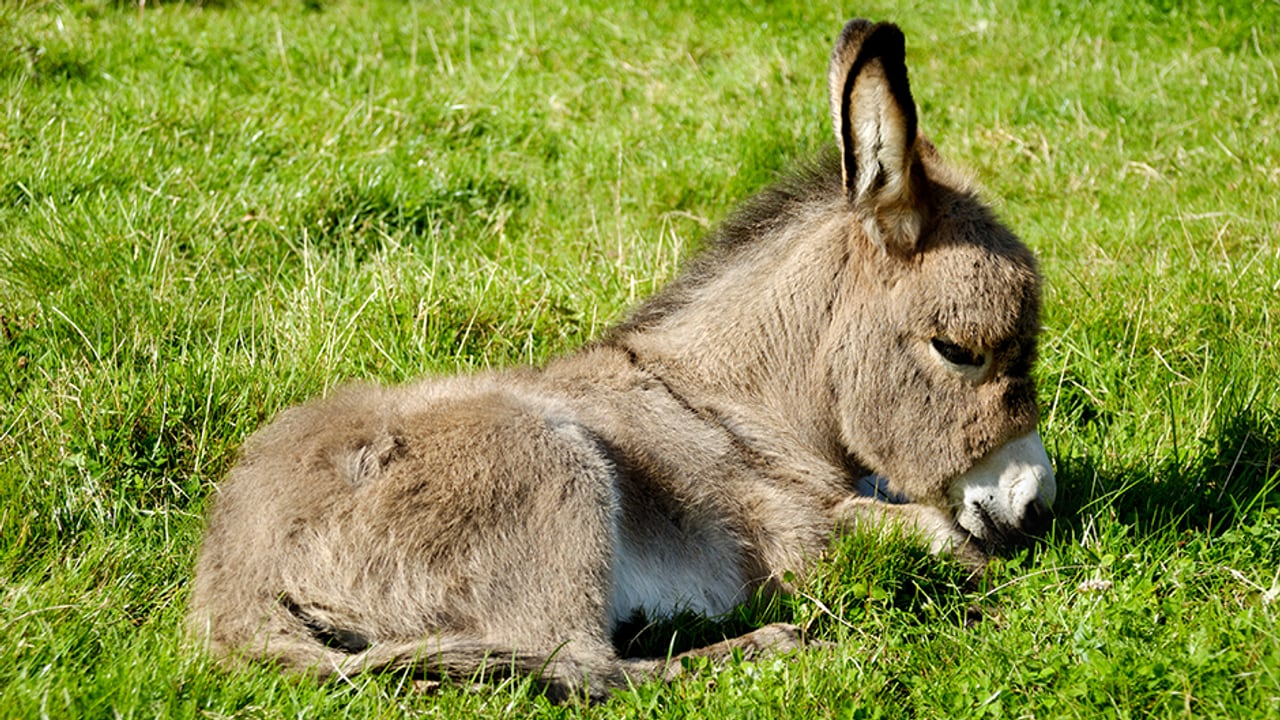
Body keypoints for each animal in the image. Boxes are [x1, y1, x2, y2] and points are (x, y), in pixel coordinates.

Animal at [185, 19, 1054, 696]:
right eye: (957, 349)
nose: (1036, 506)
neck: (736, 409)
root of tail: (234, 585)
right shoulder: (789, 536)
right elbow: (940, 536)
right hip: (551, 473)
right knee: (585, 666)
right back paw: (770, 647)